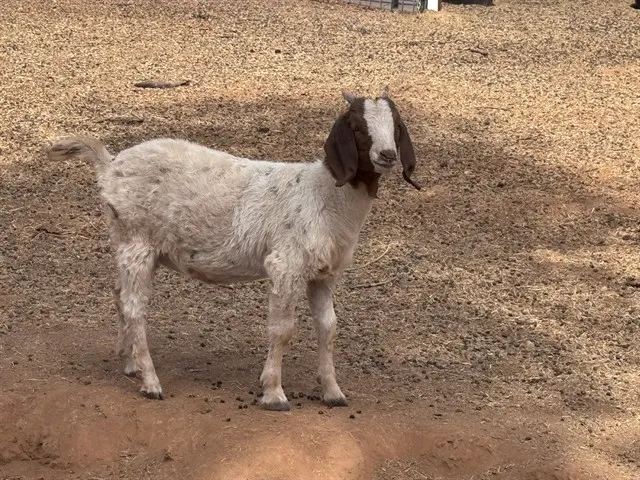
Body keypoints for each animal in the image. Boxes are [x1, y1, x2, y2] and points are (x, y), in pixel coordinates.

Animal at [47, 89, 420, 411]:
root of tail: (109, 166)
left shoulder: (323, 274)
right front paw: (274, 393)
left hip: (134, 245)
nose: (387, 155)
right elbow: (283, 330)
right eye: (357, 127)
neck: (325, 194)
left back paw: (129, 363)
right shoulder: (285, 264)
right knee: (135, 307)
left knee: (119, 295)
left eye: (396, 126)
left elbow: (328, 327)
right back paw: (151, 382)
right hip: (135, 240)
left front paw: (332, 392)